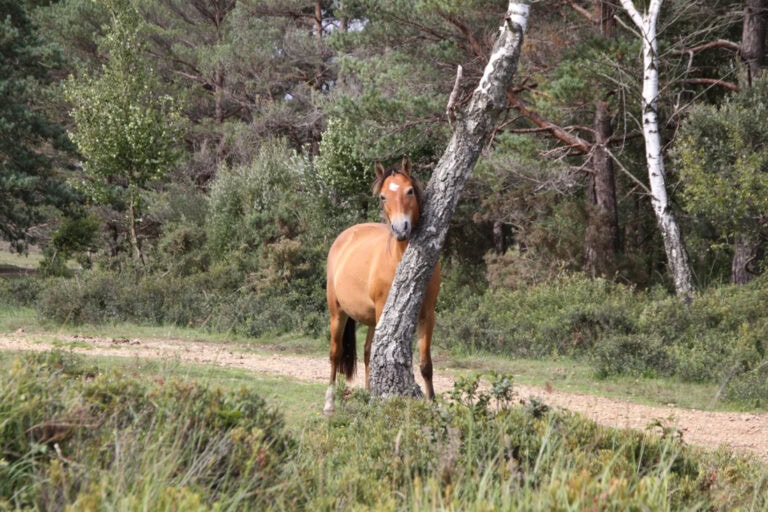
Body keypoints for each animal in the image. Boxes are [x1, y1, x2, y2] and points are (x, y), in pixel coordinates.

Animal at [323, 158, 441, 415]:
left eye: (409, 191)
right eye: (383, 196)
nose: (401, 229)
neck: (398, 260)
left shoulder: (427, 315)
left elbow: (426, 364)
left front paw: (433, 405)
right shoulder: (384, 313)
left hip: (370, 319)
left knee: (368, 353)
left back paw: (369, 395)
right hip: (338, 312)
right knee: (335, 354)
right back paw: (329, 403)